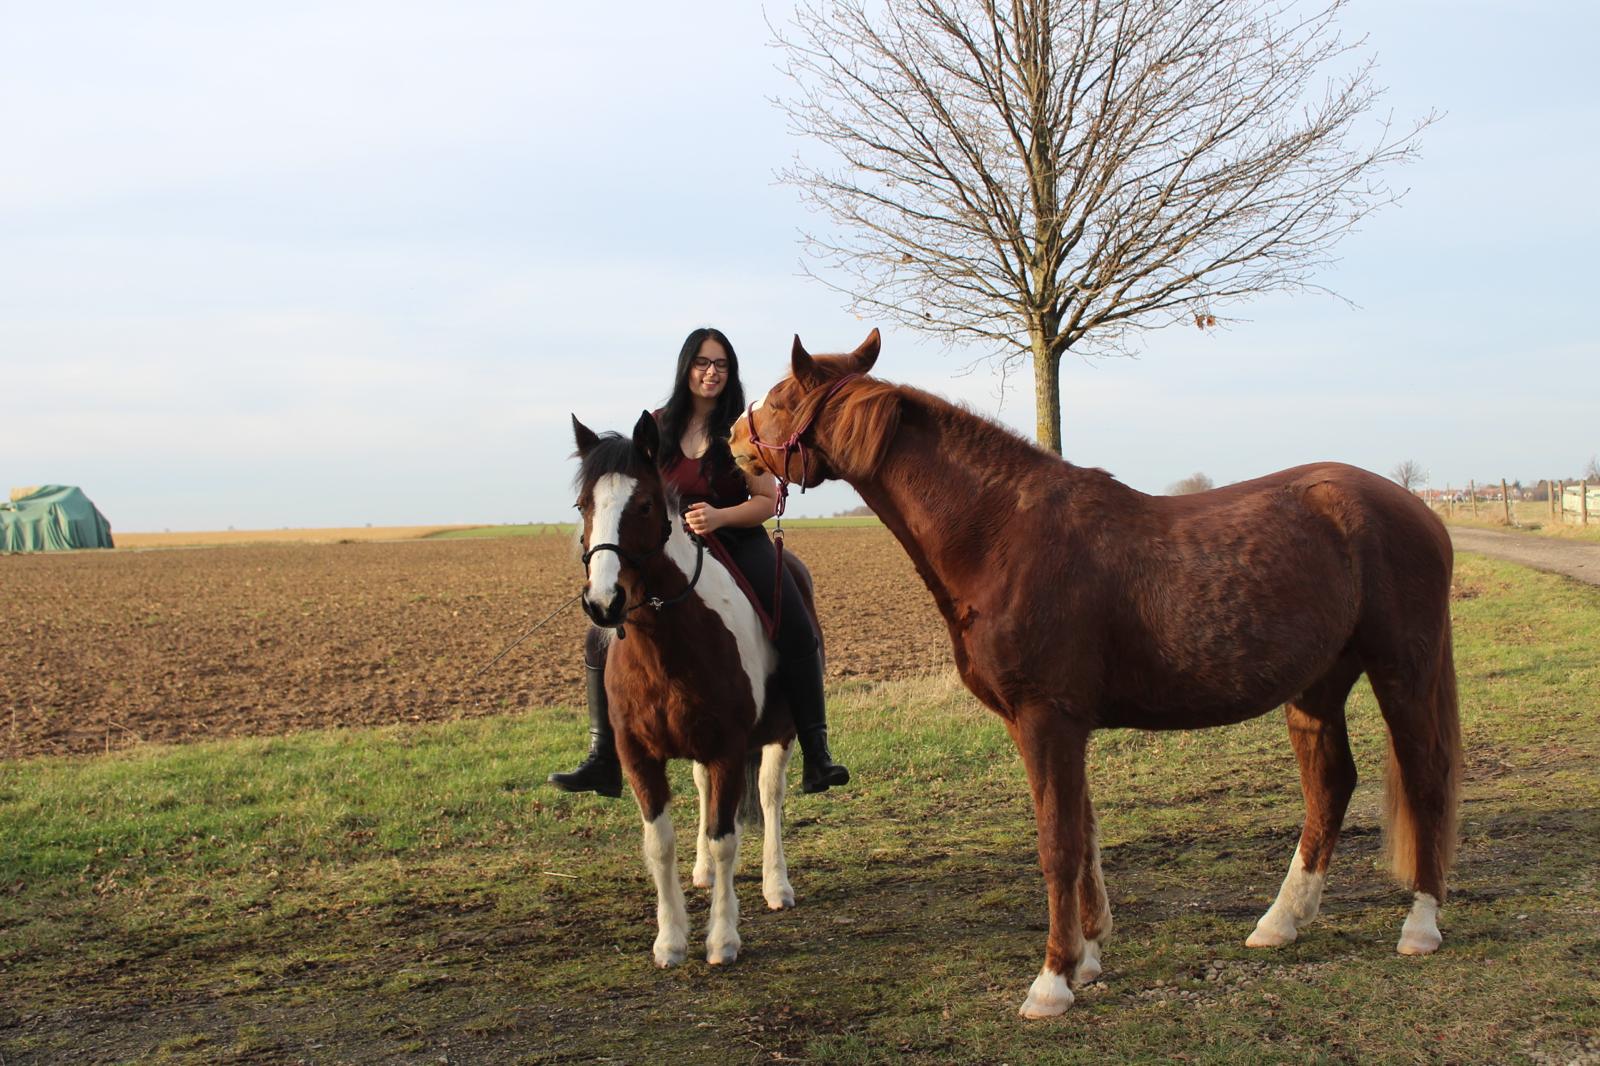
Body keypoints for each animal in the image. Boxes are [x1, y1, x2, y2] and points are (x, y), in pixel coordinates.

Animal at [730, 330, 1461, 1018]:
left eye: (782, 394)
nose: (735, 437)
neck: (1003, 535)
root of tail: (1420, 509)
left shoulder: (1048, 719)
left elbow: (1057, 844)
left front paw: (1052, 982)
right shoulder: (1049, 725)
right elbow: (1082, 836)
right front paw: (1086, 958)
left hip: (1402, 671)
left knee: (1424, 775)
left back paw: (1421, 925)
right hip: (1317, 686)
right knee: (1330, 785)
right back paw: (1282, 922)